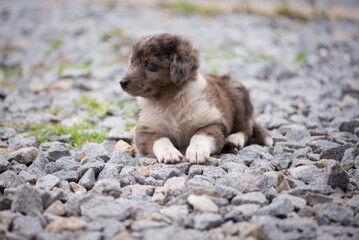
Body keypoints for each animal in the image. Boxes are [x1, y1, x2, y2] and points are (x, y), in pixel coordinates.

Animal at [121, 33, 272, 164]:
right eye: (131, 62)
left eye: (149, 64)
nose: (122, 82)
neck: (170, 102)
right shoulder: (144, 131)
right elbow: (160, 138)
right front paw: (169, 153)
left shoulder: (215, 122)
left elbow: (200, 135)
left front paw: (196, 152)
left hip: (237, 92)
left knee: (247, 129)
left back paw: (234, 139)